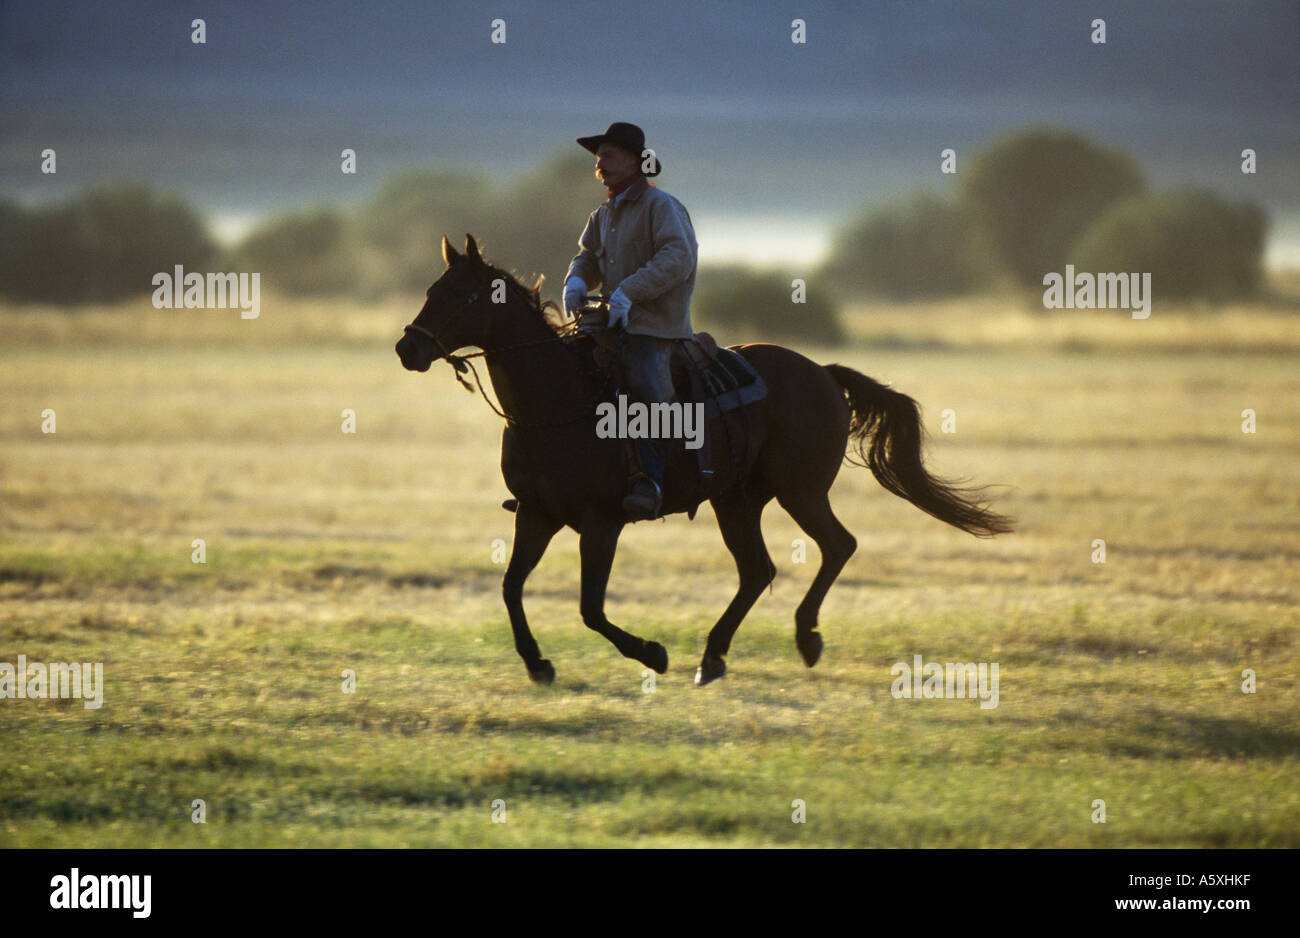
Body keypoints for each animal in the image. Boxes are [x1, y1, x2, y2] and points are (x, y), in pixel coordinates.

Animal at [395, 233, 1013, 680]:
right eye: (432, 287)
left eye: (463, 295)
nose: (408, 347)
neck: (556, 403)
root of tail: (821, 372)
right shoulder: (536, 514)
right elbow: (510, 587)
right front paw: (538, 662)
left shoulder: (601, 522)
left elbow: (591, 607)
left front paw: (652, 653)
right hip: (736, 502)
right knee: (758, 569)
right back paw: (714, 655)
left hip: (801, 491)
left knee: (838, 546)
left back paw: (805, 637)